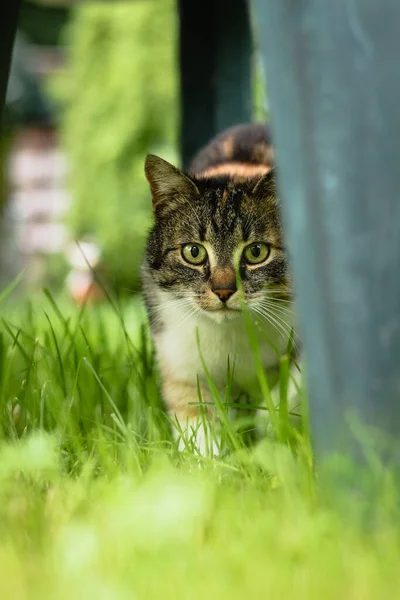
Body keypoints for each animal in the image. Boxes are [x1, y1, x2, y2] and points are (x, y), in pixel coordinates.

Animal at [142, 122, 302, 452]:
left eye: (256, 252)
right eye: (193, 252)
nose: (224, 291)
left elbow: (294, 386)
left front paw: (271, 423)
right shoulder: (178, 358)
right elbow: (193, 417)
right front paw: (208, 458)